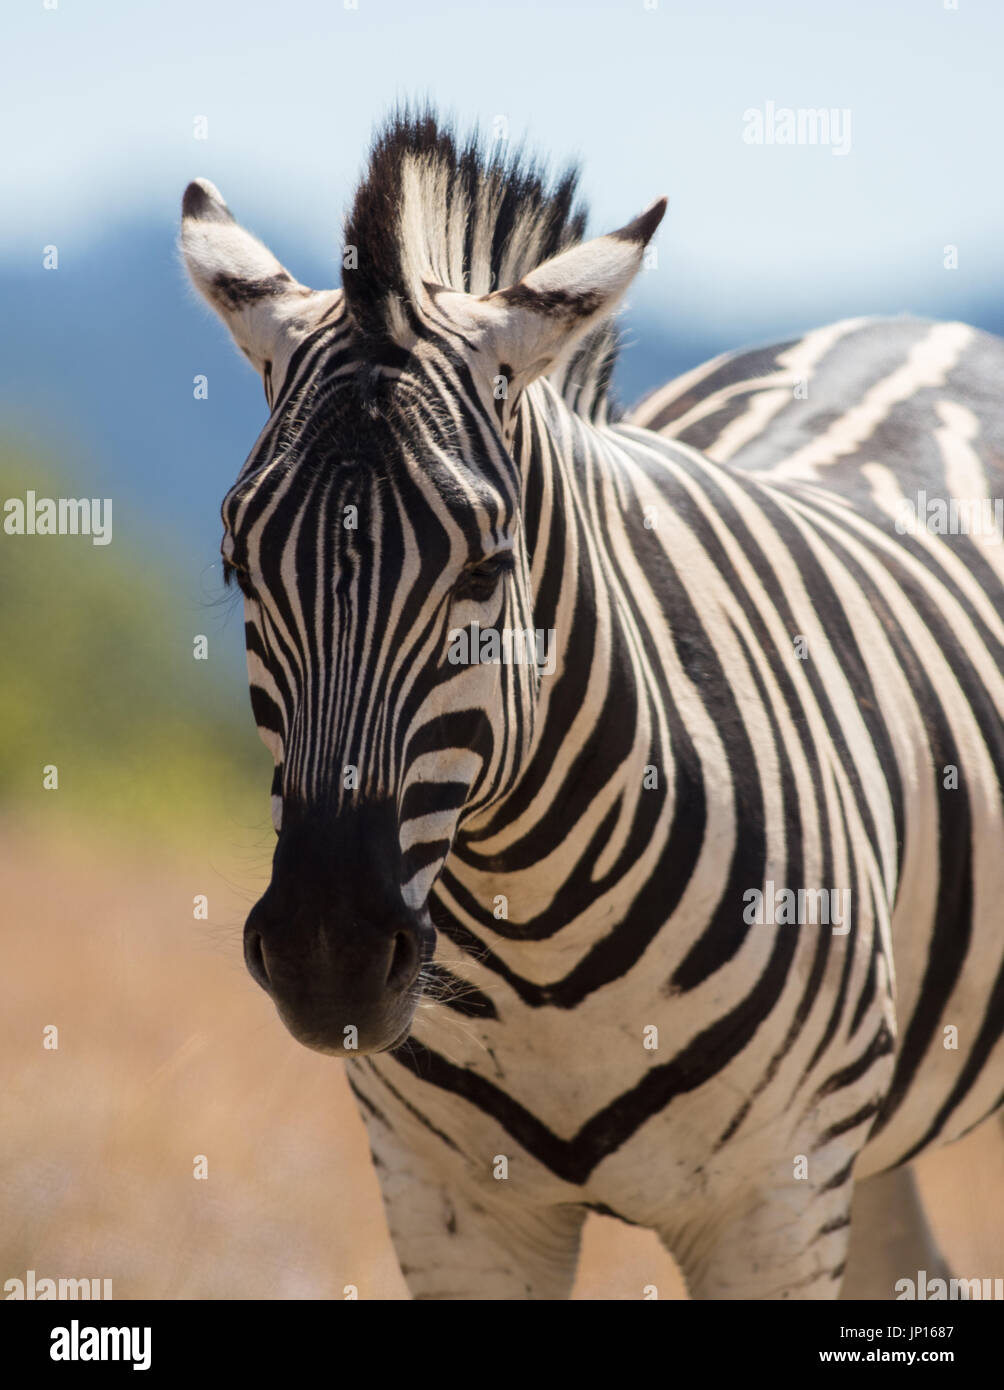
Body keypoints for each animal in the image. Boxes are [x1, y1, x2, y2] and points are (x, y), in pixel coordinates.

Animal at [179, 113, 1001, 1295]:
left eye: (486, 561)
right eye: (239, 562)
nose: (325, 961)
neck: (539, 932)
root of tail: (914, 327)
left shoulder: (774, 1205)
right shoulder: (455, 1208)